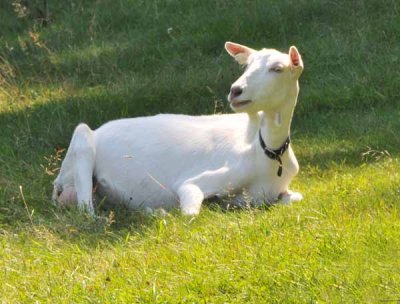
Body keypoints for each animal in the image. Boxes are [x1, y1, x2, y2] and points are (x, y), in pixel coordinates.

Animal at [53, 41, 304, 215]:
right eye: (247, 65)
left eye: (277, 68)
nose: (236, 90)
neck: (267, 157)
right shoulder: (198, 181)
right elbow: (190, 210)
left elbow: (294, 197)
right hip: (81, 145)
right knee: (87, 211)